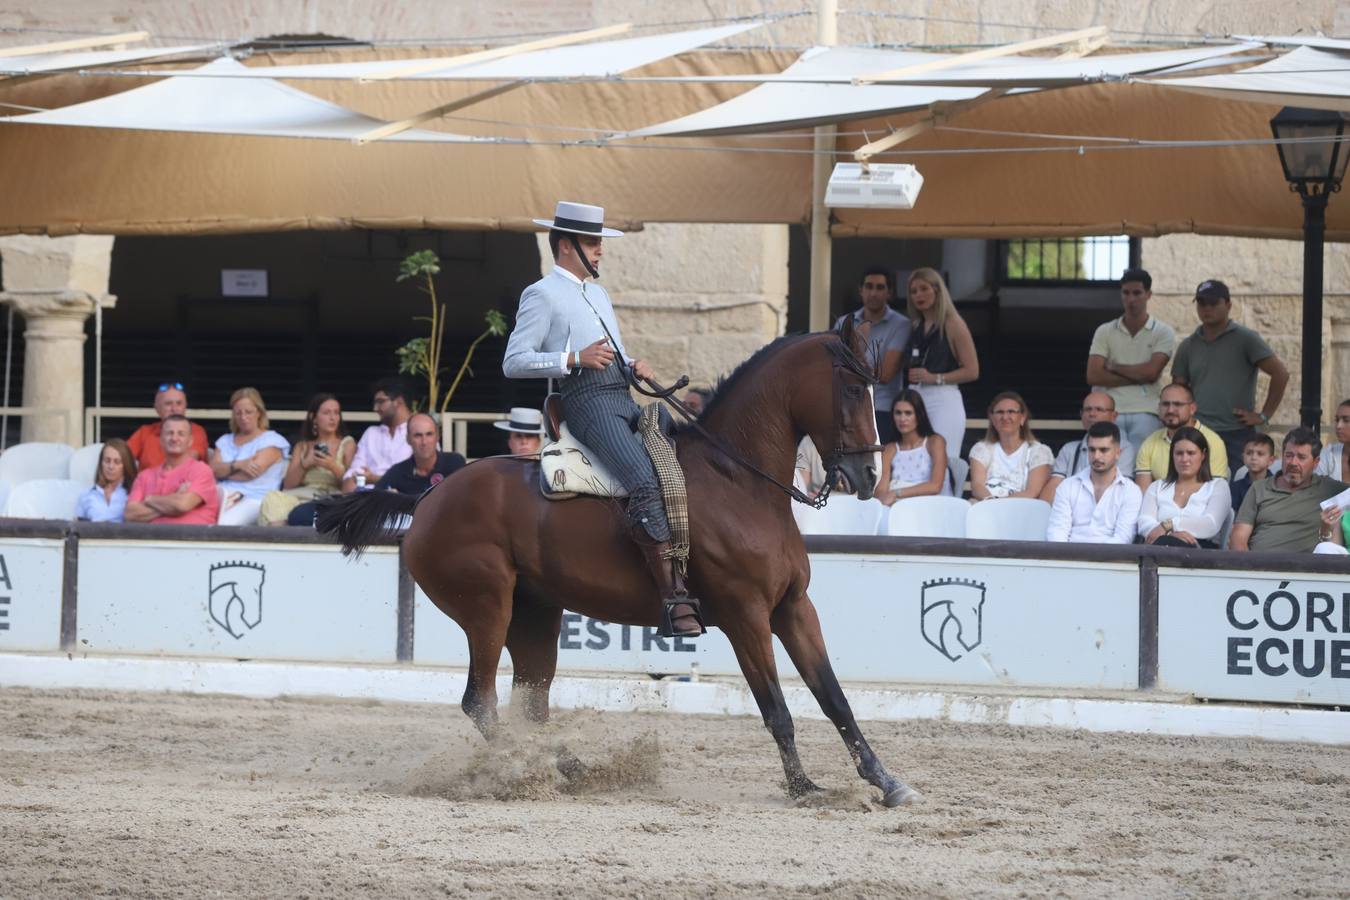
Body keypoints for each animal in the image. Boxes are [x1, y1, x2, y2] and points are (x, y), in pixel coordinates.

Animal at [321, 325, 923, 809]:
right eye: (853, 388)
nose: (869, 475)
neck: (738, 481)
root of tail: (428, 498)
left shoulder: (794, 608)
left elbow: (833, 696)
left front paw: (886, 782)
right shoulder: (746, 616)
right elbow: (776, 708)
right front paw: (803, 789)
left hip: (535, 617)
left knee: (530, 705)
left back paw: (566, 768)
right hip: (487, 611)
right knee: (481, 702)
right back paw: (533, 771)